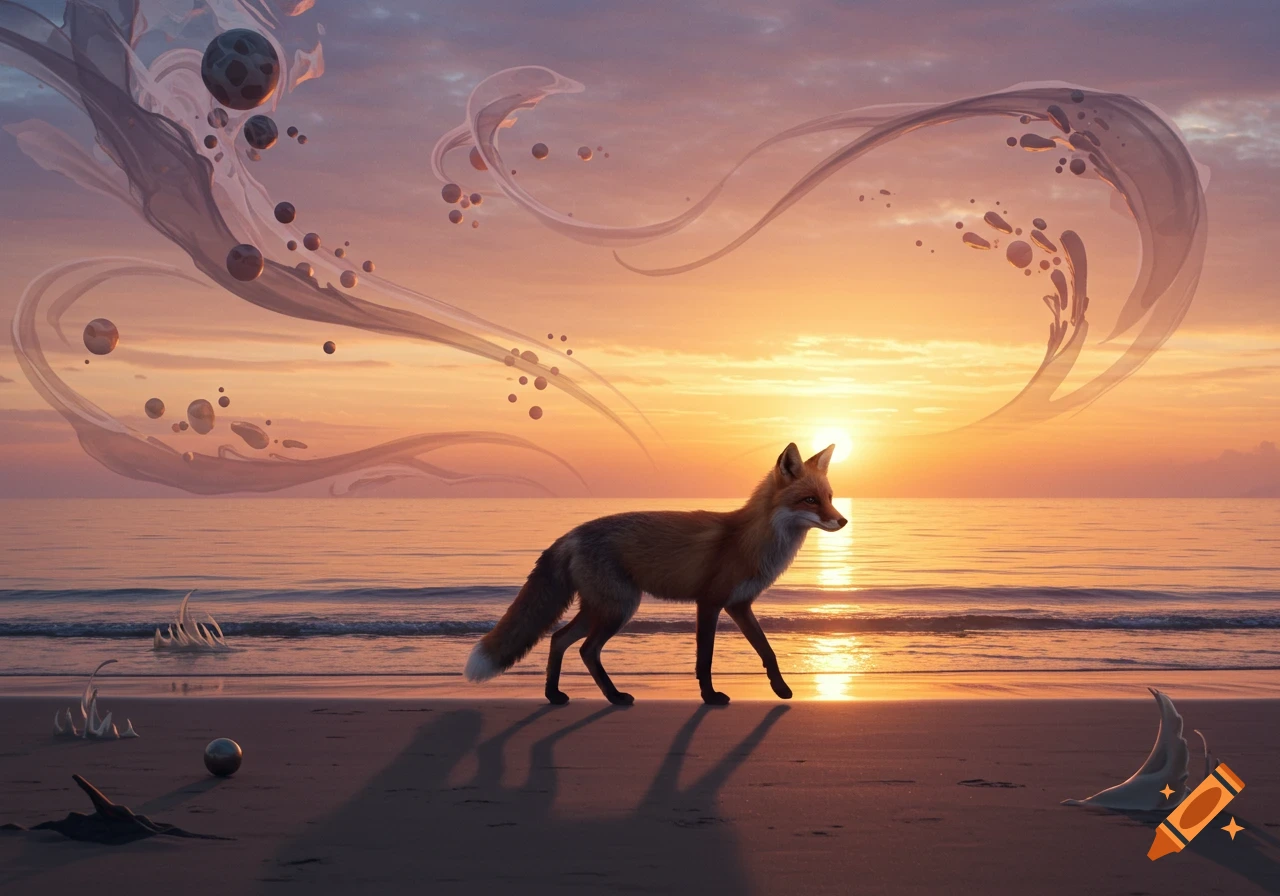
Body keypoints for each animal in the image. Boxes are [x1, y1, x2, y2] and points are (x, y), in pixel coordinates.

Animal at [464, 441, 847, 705]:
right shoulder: (710, 602)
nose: (843, 521)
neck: (747, 540)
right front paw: (710, 697)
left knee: (558, 639)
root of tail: (571, 534)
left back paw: (554, 695)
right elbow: (704, 659)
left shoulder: (740, 605)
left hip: (600, 608)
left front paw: (781, 689)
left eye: (830, 497)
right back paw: (614, 697)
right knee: (586, 650)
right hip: (618, 608)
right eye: (810, 500)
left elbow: (767, 651)